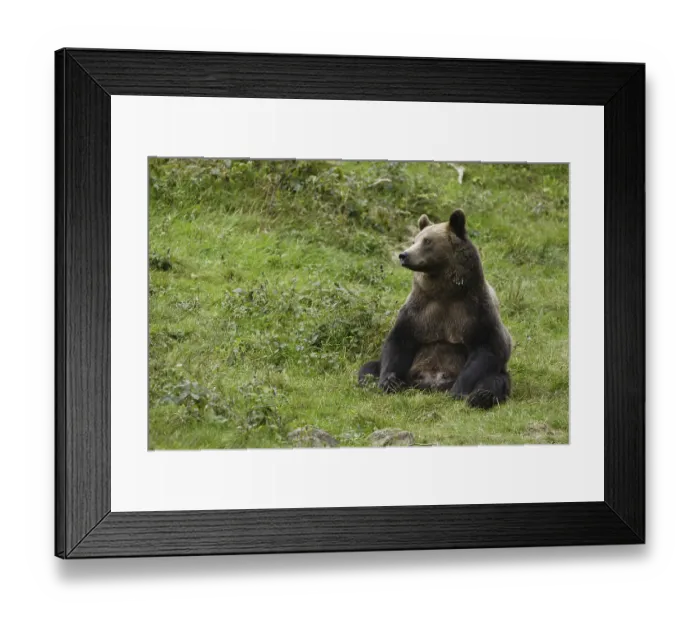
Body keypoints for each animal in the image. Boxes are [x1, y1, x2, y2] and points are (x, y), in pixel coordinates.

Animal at [358, 209, 512, 409]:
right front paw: (389, 382)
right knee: (368, 367)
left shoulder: (477, 311)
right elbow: (398, 342)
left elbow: (487, 349)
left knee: (497, 380)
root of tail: (430, 386)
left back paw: (480, 396)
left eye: (427, 241)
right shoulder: (418, 311)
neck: (445, 292)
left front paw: (458, 391)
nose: (404, 255)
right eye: (414, 240)